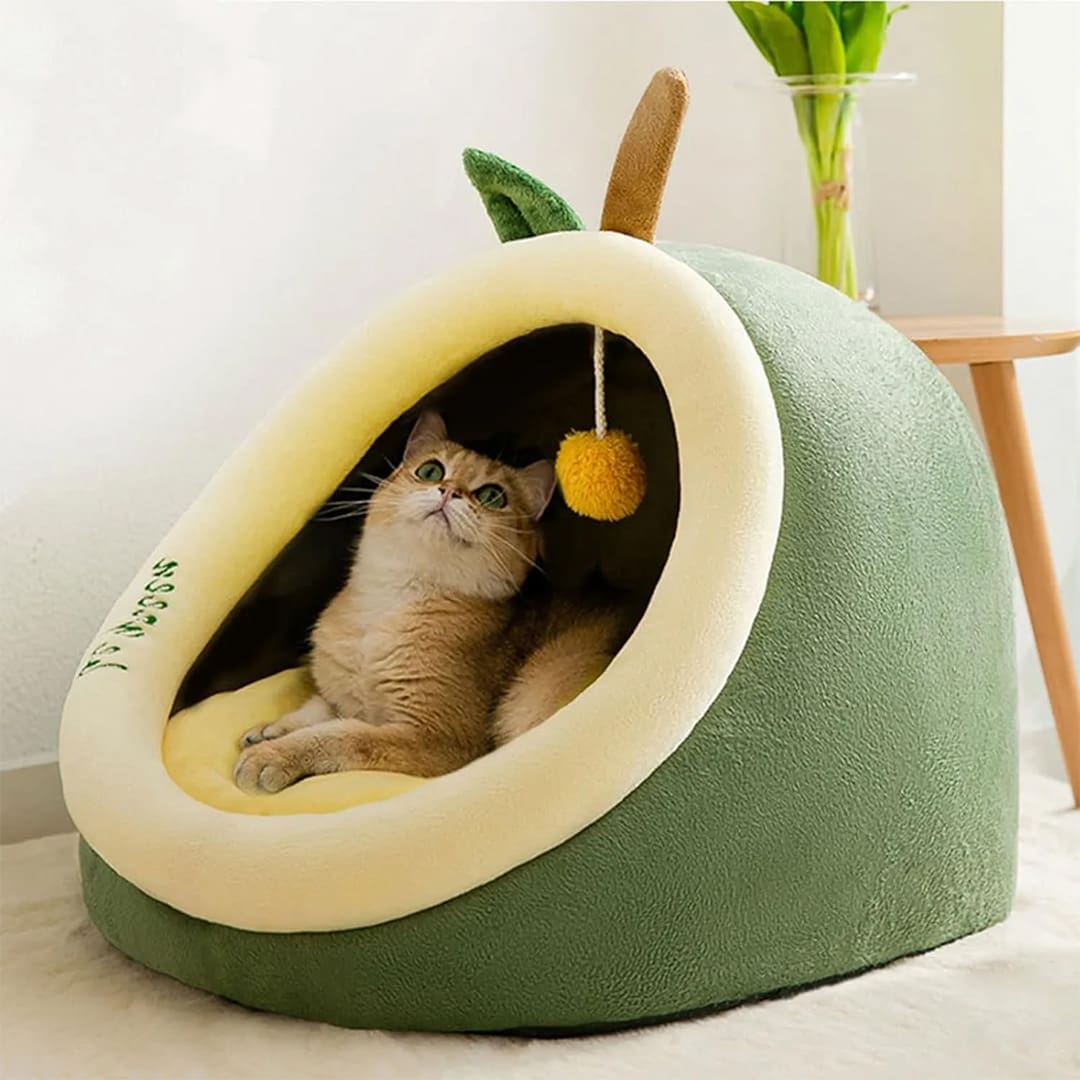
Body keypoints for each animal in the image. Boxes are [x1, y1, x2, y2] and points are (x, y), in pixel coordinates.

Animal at [233, 411, 627, 793]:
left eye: (492, 496)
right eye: (431, 471)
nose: (449, 491)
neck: (389, 603)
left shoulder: (435, 740)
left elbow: (342, 734)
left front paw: (273, 755)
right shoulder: (343, 696)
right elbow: (317, 708)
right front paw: (271, 729)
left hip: (538, 688)